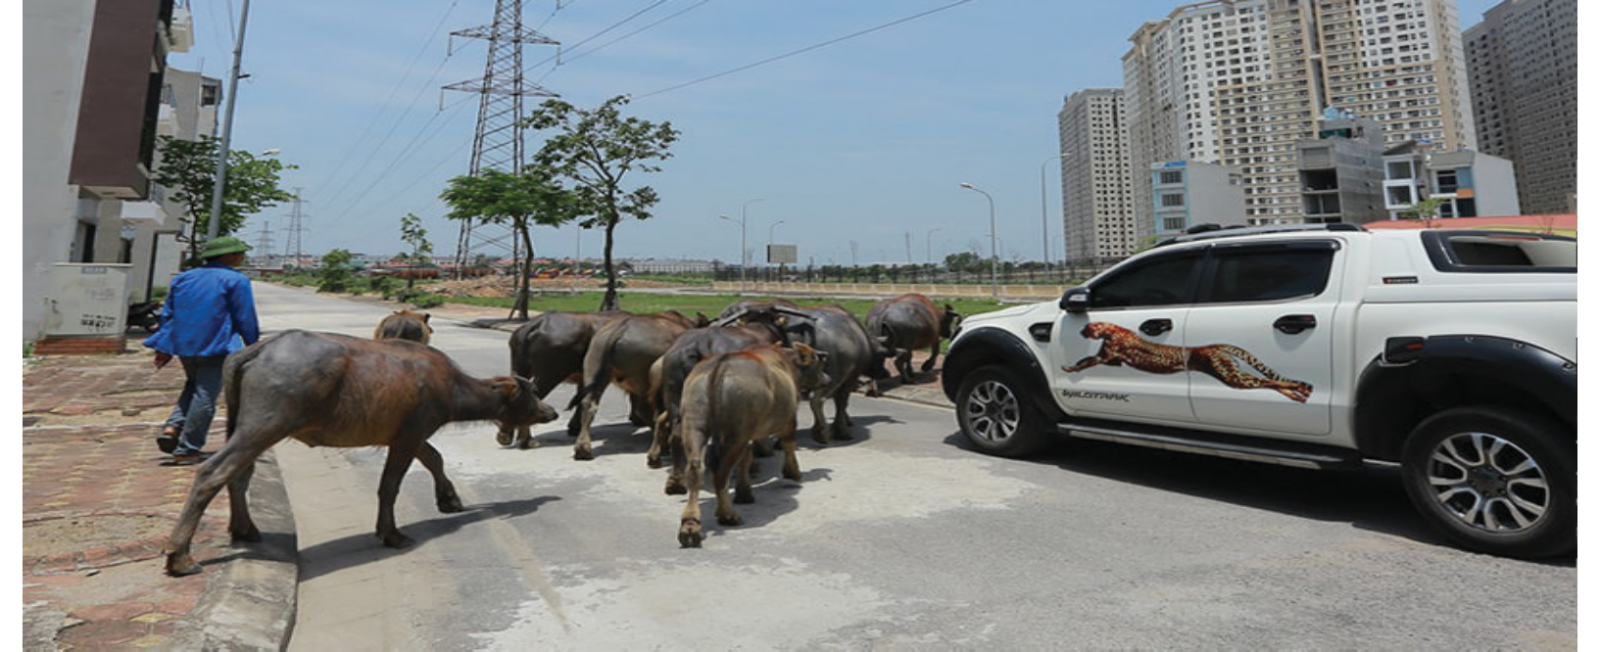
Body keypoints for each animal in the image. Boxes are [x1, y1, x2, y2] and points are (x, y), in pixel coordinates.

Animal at [157, 330, 556, 575]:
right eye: (532, 395)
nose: (551, 411)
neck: (451, 385)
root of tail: (256, 350)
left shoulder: (408, 434)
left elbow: (434, 458)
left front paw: (449, 499)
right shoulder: (410, 434)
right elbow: (390, 485)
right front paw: (391, 533)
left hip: (245, 425)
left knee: (240, 472)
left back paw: (245, 529)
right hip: (265, 424)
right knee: (213, 471)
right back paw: (180, 555)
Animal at [502, 311, 627, 447]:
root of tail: (537, 323)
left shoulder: (583, 378)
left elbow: (580, 397)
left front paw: (574, 427)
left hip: (520, 368)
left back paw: (505, 435)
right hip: (550, 375)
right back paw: (527, 440)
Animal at [572, 310, 704, 457]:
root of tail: (620, 328)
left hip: (594, 361)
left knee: (588, 403)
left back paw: (582, 448)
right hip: (644, 374)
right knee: (645, 408)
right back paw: (661, 444)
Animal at [675, 343, 825, 546]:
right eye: (818, 363)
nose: (827, 378)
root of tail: (720, 365)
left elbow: (745, 460)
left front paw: (744, 492)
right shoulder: (789, 419)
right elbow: (788, 444)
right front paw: (793, 472)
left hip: (695, 422)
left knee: (696, 468)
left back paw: (690, 524)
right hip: (737, 433)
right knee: (721, 471)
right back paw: (727, 514)